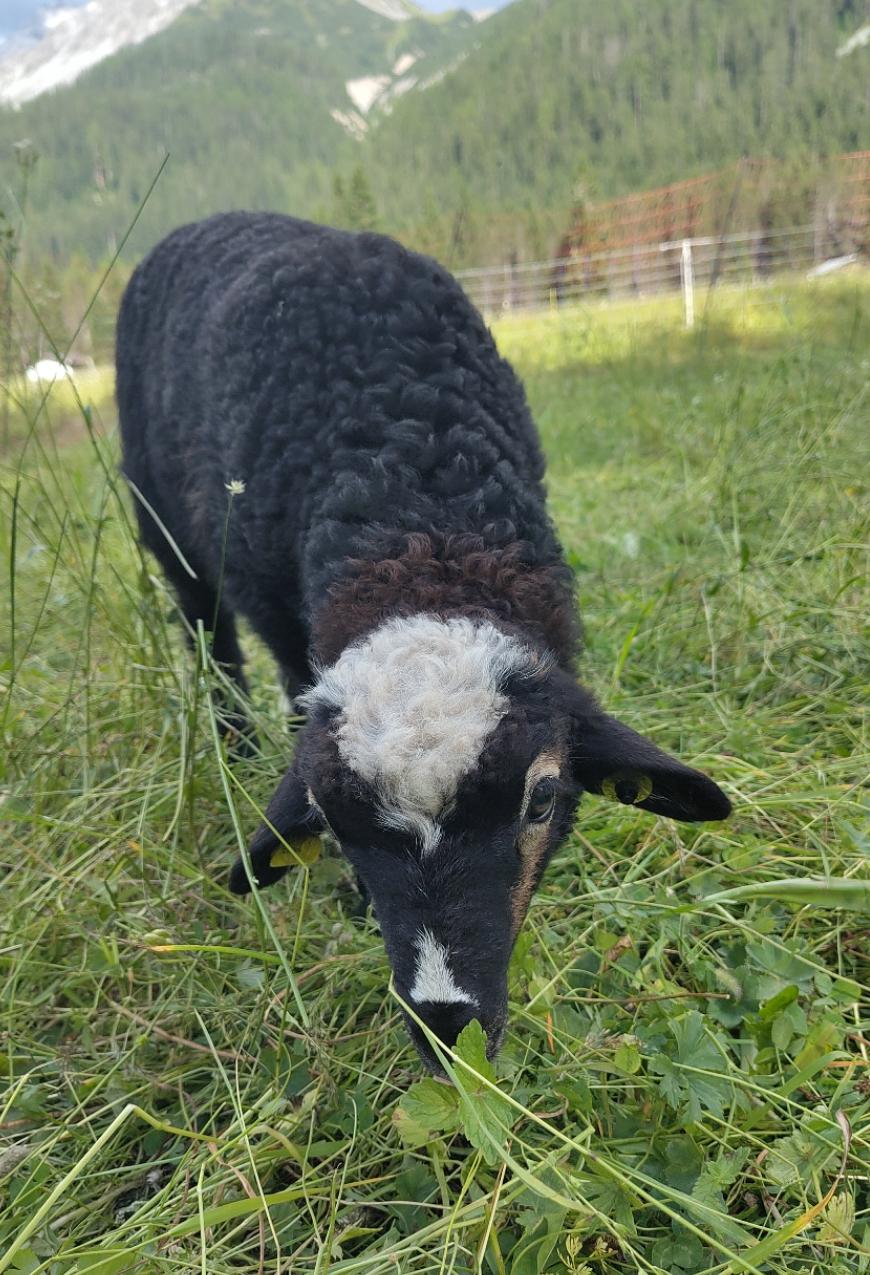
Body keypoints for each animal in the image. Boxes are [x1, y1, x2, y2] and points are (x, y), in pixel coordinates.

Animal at [116, 210, 731, 1073]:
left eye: (543, 798)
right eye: (330, 822)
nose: (448, 1027)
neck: (419, 511)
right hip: (163, 519)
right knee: (209, 634)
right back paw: (234, 746)